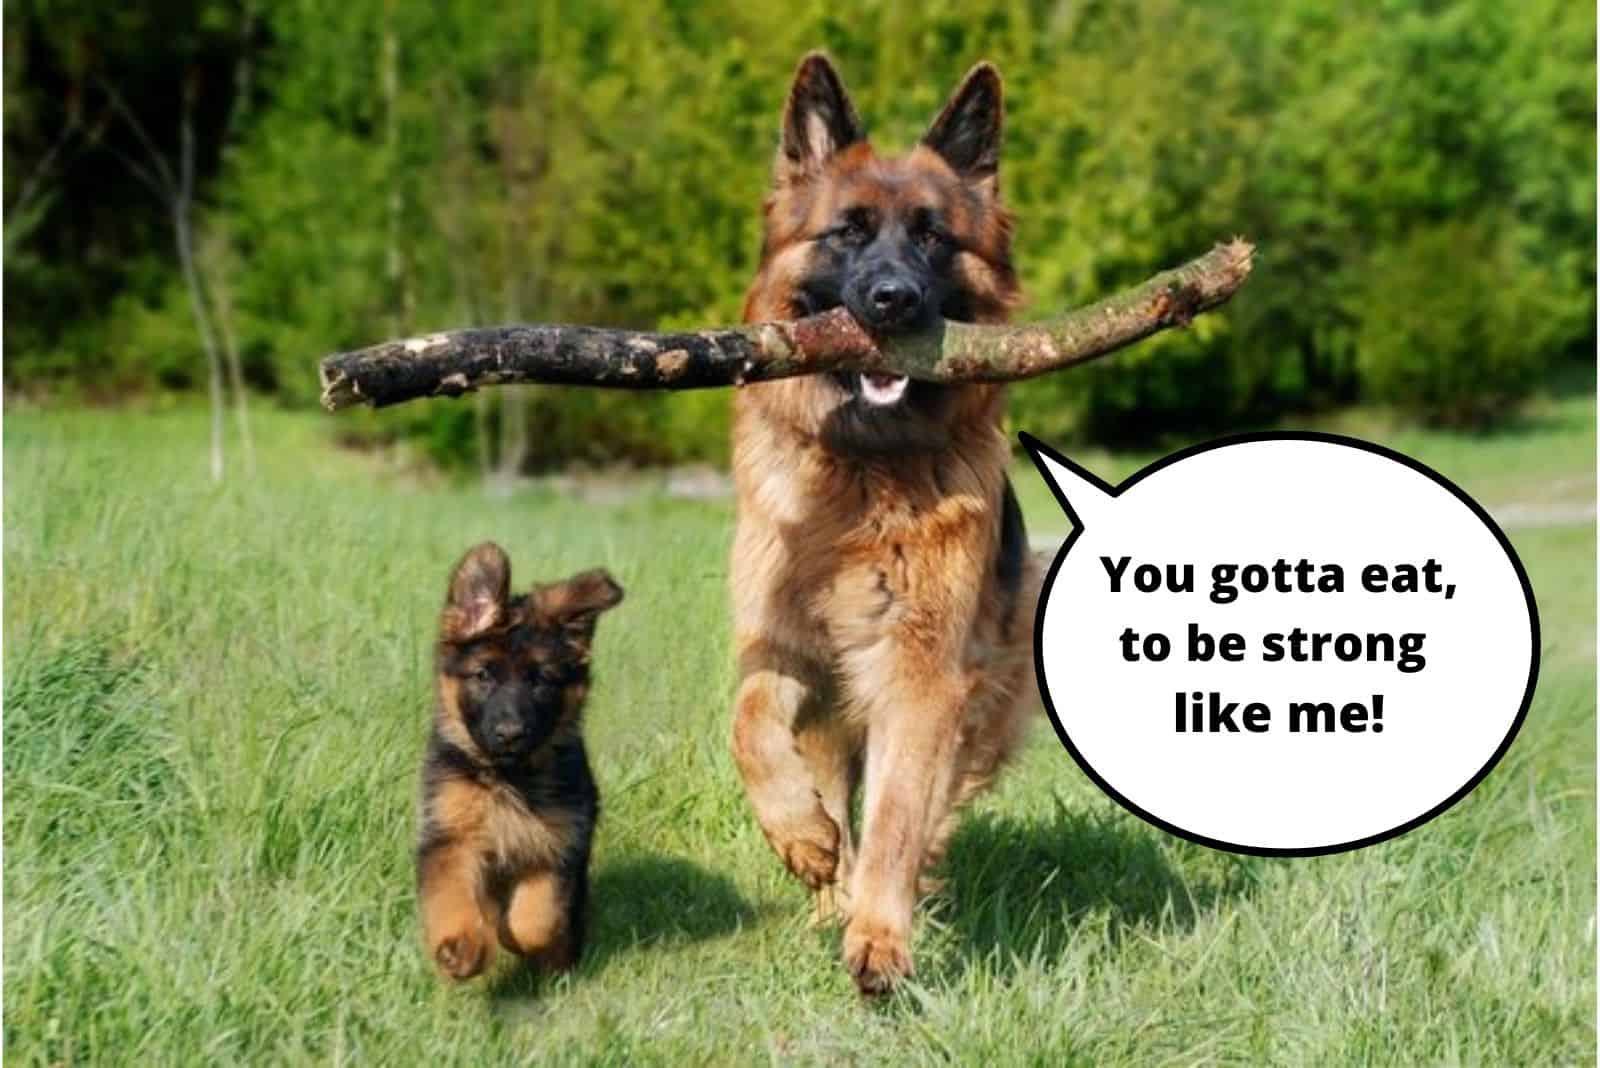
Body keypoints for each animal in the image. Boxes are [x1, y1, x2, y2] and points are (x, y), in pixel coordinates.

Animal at [416, 546, 620, 978]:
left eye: (540, 680)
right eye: (483, 675)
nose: (510, 733)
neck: (508, 777)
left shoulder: (558, 844)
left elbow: (536, 918)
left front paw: (514, 937)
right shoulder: (450, 837)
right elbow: (453, 898)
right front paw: (462, 948)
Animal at [729, 56, 1036, 991]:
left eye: (933, 238)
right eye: (849, 233)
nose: (892, 301)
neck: (864, 471)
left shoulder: (921, 674)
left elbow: (899, 812)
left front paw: (881, 937)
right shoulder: (785, 648)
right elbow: (750, 726)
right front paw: (799, 836)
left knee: (928, 807)